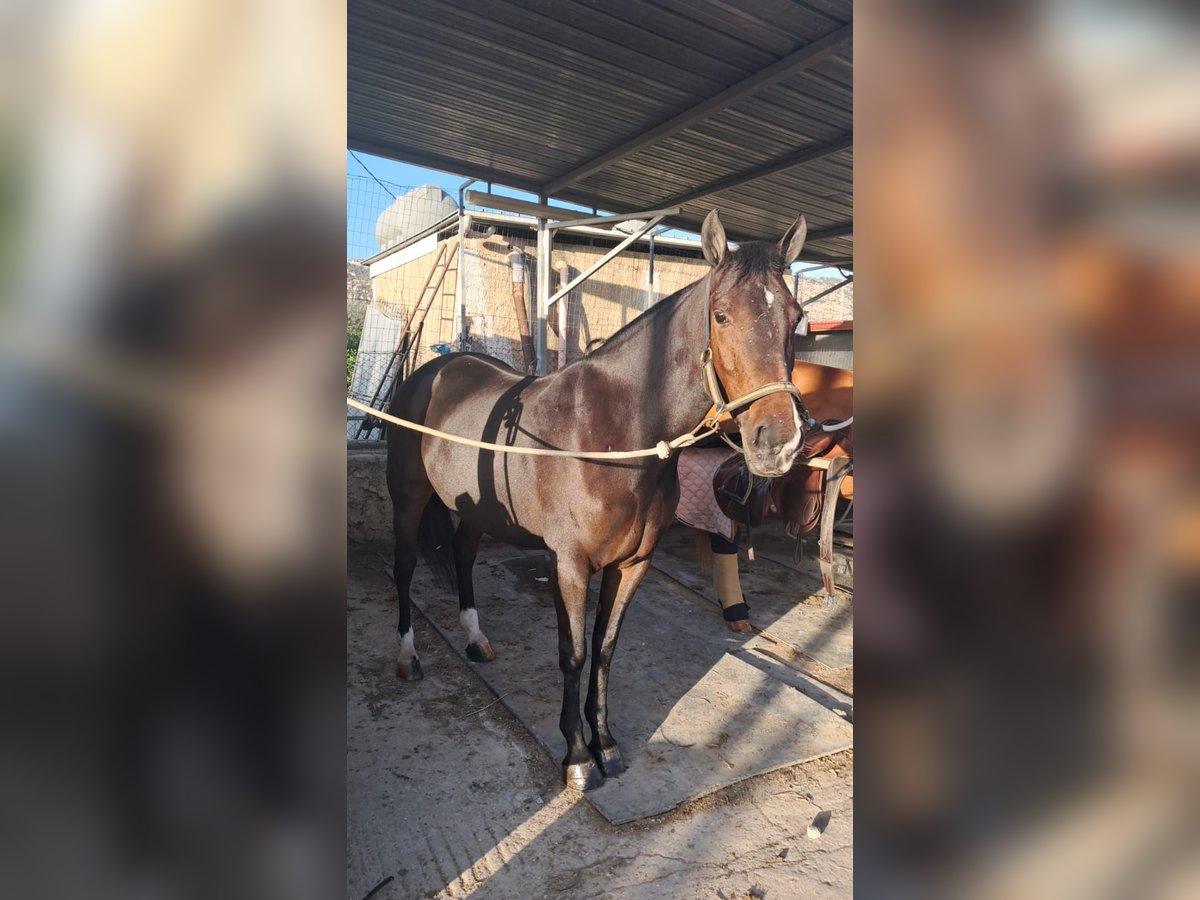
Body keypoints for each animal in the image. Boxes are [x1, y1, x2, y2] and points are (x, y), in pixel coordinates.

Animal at [388, 207, 811, 792]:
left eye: (796, 317)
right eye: (721, 316)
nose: (778, 441)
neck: (615, 434)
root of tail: (431, 372)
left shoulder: (632, 563)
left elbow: (606, 649)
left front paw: (604, 743)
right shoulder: (569, 564)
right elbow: (574, 652)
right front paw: (576, 756)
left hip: (475, 509)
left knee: (464, 557)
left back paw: (475, 639)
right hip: (408, 500)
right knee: (405, 567)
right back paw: (408, 656)